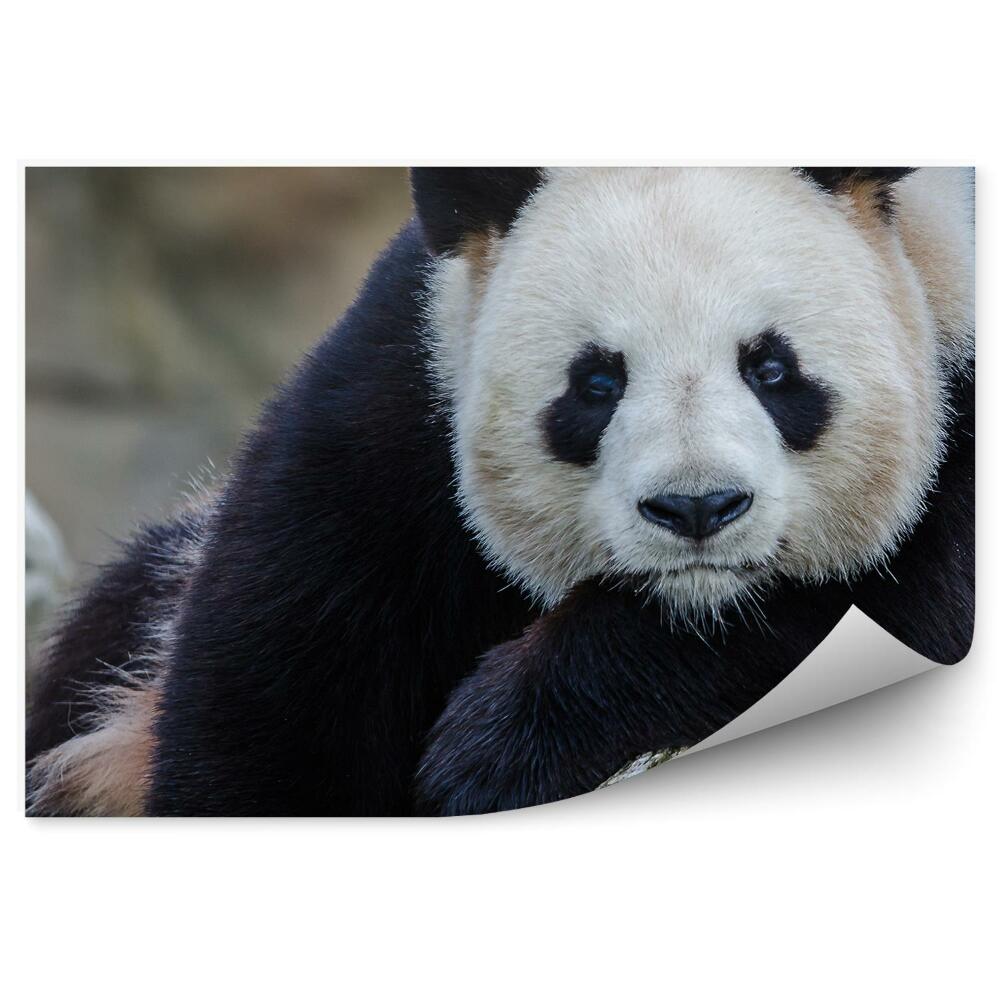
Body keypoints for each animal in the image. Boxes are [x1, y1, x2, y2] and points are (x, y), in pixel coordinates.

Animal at [26, 166, 974, 817]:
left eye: (771, 368)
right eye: (595, 383)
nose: (696, 509)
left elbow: (899, 603)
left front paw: (495, 746)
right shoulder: (403, 395)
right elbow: (282, 668)